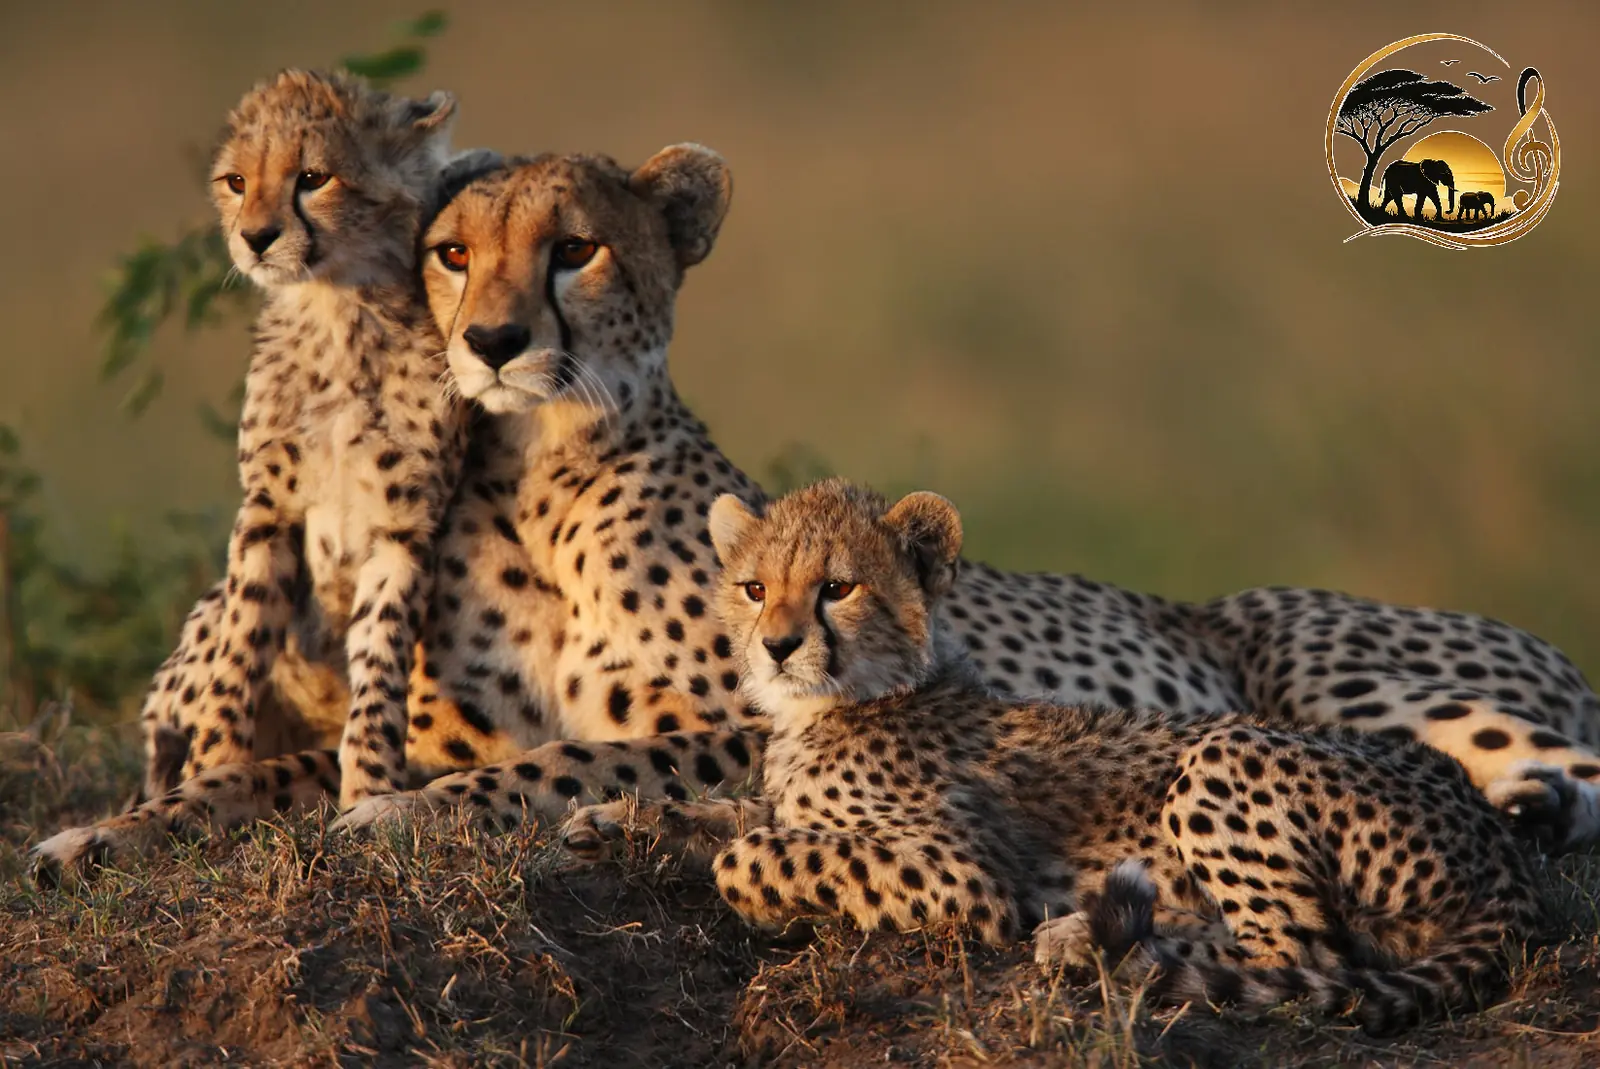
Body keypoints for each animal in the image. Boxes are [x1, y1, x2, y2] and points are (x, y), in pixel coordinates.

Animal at [31, 69, 493, 878]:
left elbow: (380, 669)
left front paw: (367, 791)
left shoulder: (404, 528)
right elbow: (242, 649)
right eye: (237, 182)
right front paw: (217, 762)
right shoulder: (267, 511)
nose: (255, 237)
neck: (337, 310)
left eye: (313, 178)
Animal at [562, 478, 1547, 1035]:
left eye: (837, 587)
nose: (774, 646)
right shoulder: (784, 797)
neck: (848, 701)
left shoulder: (964, 875)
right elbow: (727, 810)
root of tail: (1494, 837)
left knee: (1310, 952)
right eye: (754, 586)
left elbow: (750, 850)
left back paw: (1093, 944)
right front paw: (611, 820)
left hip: (1222, 752)